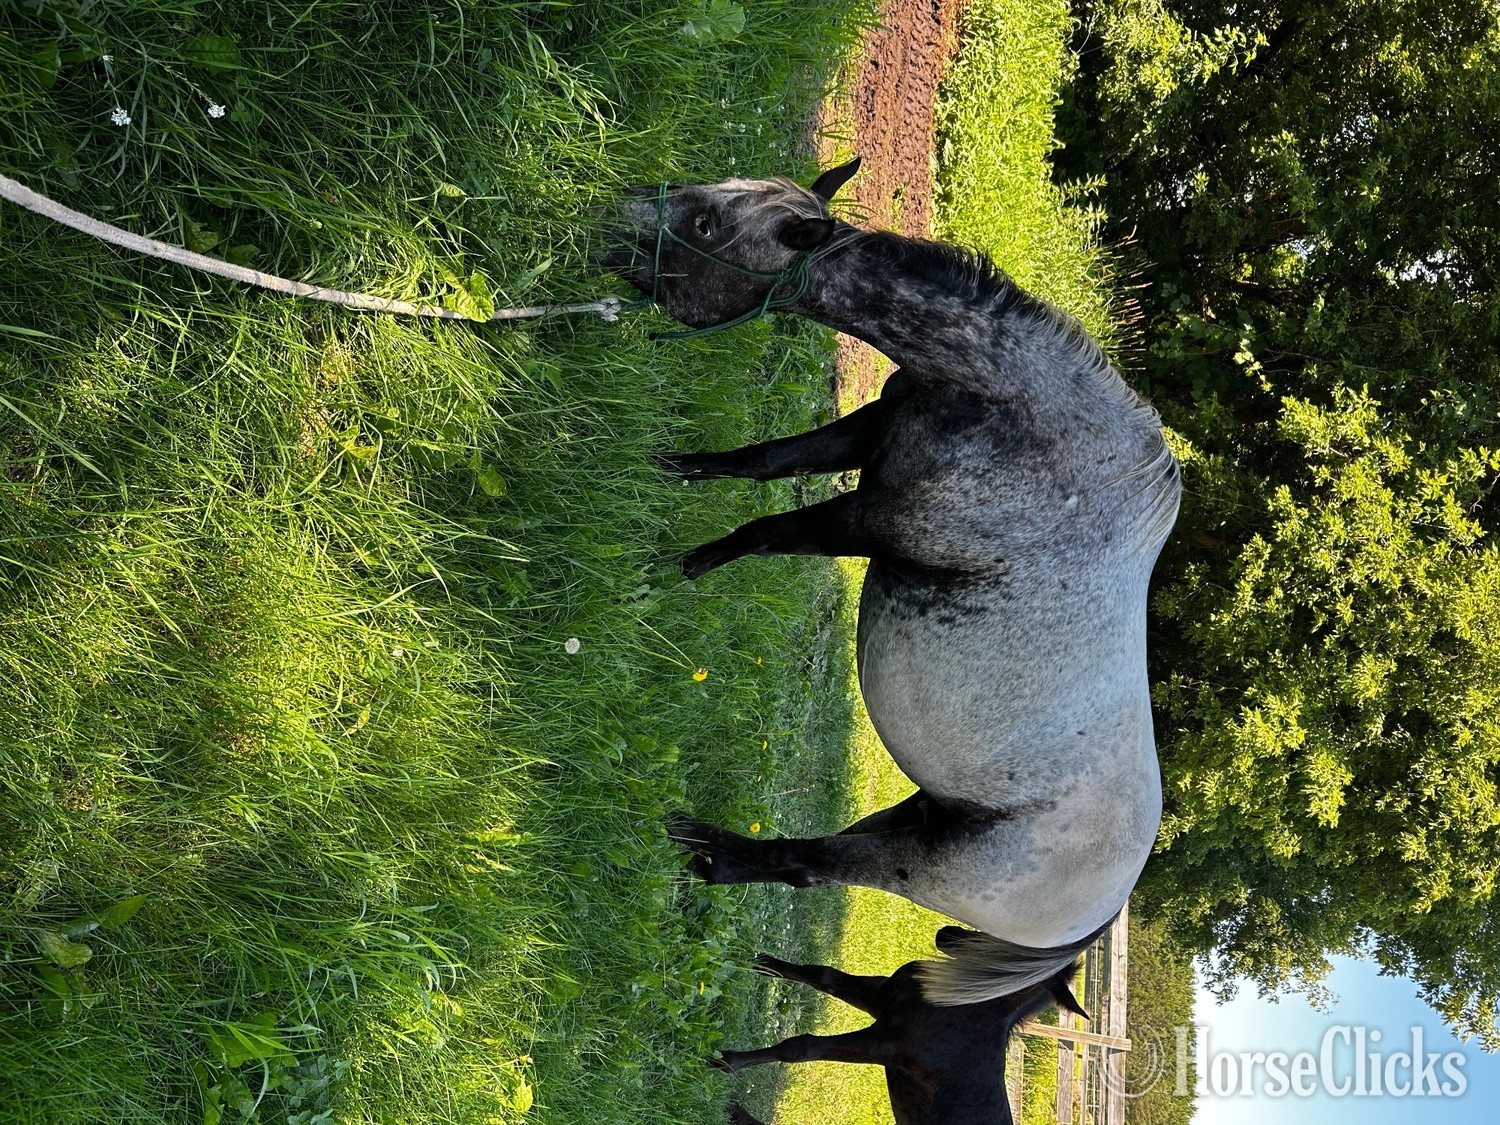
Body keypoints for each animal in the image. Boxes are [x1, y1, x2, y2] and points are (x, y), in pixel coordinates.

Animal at [607, 158, 1180, 1002]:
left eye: (708, 226)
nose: (602, 220)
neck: (1028, 426)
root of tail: (1097, 915)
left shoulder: (863, 519)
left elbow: (763, 532)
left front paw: (682, 565)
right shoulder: (862, 436)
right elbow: (758, 462)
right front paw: (675, 469)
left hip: (910, 863)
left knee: (807, 865)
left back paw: (708, 853)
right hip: (912, 816)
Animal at [716, 928, 1085, 1125]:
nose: (947, 935)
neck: (967, 1009)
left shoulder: (885, 1045)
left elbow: (800, 1047)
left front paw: (725, 1061)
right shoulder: (883, 999)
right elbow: (822, 976)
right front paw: (759, 963)